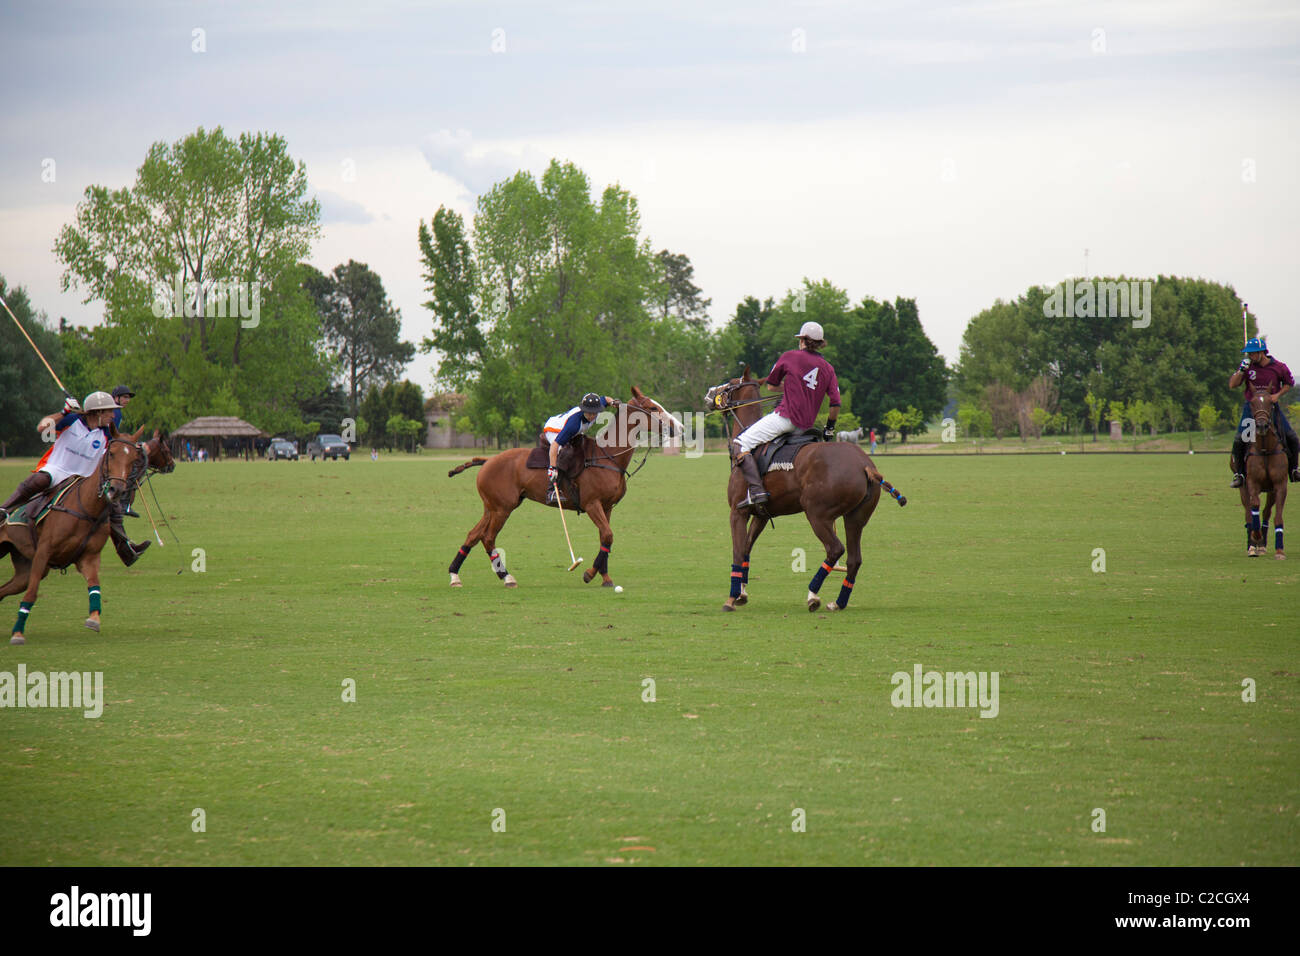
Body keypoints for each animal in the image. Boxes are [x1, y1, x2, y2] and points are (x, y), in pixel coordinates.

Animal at [1, 429, 152, 647]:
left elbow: (94, 585)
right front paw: (18, 634)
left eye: (134, 459)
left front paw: (94, 619)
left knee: (2, 590)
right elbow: (32, 592)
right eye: (111, 453)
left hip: (24, 569)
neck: (86, 508)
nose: (116, 490)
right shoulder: (43, 552)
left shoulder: (88, 557)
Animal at [447, 390, 686, 590]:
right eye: (653, 408)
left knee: (473, 535)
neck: (607, 456)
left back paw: (455, 575)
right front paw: (589, 573)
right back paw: (506, 577)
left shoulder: (607, 507)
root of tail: (487, 461)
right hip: (502, 508)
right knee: (488, 538)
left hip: (492, 507)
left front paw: (606, 578)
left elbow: (605, 538)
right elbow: (608, 535)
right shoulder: (592, 504)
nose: (681, 428)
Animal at [707, 366, 909, 613]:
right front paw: (742, 594)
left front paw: (731, 599)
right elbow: (746, 549)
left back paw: (813, 596)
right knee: (854, 558)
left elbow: (737, 551)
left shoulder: (738, 511)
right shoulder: (761, 515)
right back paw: (838, 602)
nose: (710, 395)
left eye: (730, 384)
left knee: (835, 549)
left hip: (817, 513)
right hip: (855, 517)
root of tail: (866, 466)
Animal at [1237, 390, 1289, 561]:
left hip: (1271, 490)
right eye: (1252, 403)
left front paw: (1279, 550)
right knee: (1249, 513)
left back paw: (1262, 544)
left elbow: (1276, 516)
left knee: (1266, 512)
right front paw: (1255, 538)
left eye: (1270, 403)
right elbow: (1253, 507)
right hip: (1243, 488)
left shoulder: (1280, 484)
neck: (1265, 448)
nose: (1261, 426)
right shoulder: (1251, 482)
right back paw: (1253, 545)